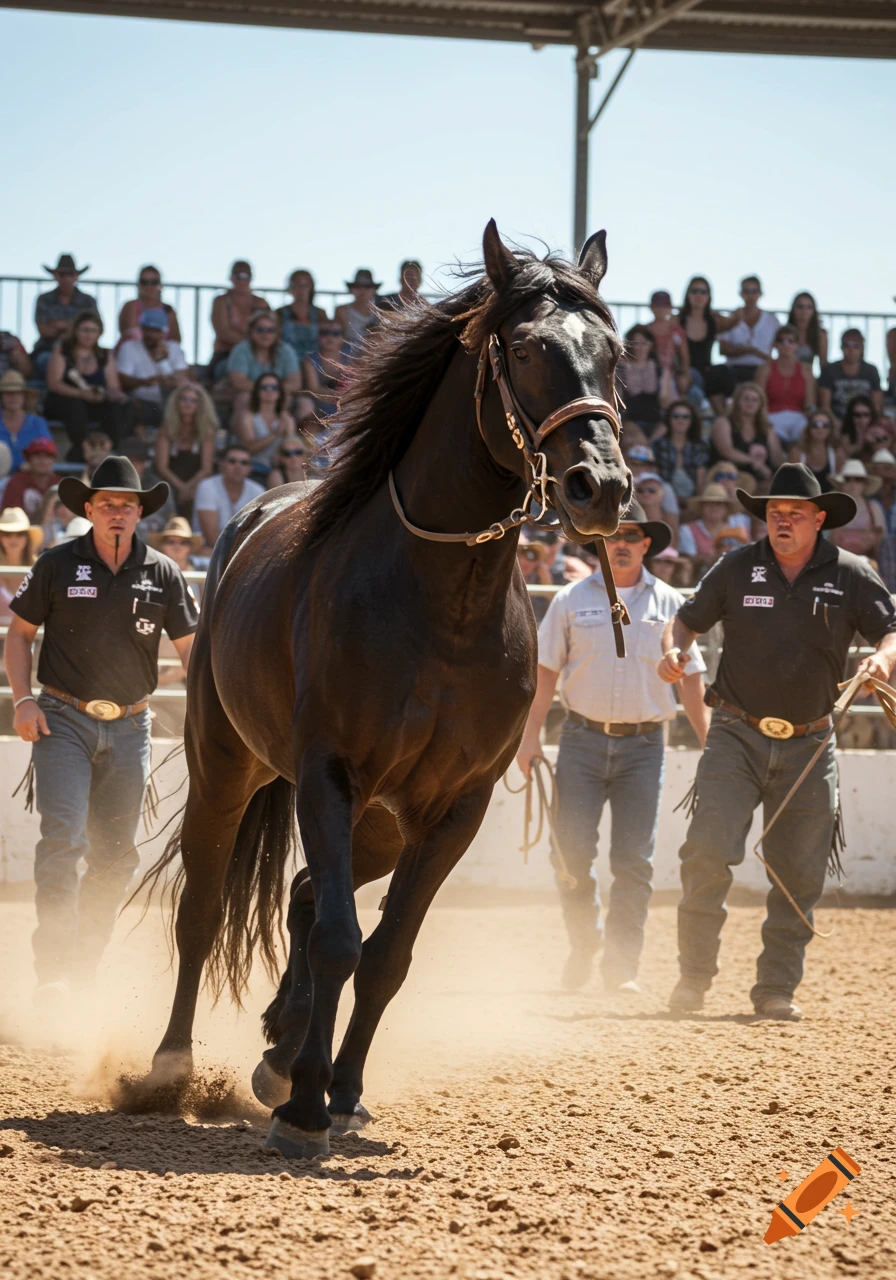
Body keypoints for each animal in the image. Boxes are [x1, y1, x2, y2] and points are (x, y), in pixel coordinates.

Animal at [142, 220, 631, 1158]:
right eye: (524, 348)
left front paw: (338, 1091)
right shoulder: (331, 775)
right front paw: (303, 1109)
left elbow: (386, 954)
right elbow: (340, 942)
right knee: (205, 908)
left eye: (614, 353)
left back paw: (280, 1048)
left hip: (377, 825)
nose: (604, 485)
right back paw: (170, 1066)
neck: (442, 602)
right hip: (230, 770)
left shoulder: (452, 808)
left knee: (304, 894)